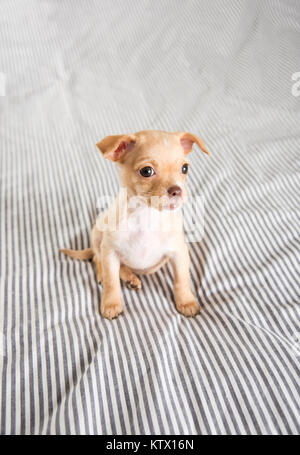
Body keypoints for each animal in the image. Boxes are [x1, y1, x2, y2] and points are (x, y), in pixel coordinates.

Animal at [59, 130, 207, 318]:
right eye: (147, 171)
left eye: (184, 168)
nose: (177, 190)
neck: (146, 216)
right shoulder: (110, 252)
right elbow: (111, 281)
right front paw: (111, 303)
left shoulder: (179, 253)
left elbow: (182, 279)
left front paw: (186, 301)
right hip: (97, 234)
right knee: (97, 258)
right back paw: (110, 276)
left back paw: (130, 278)